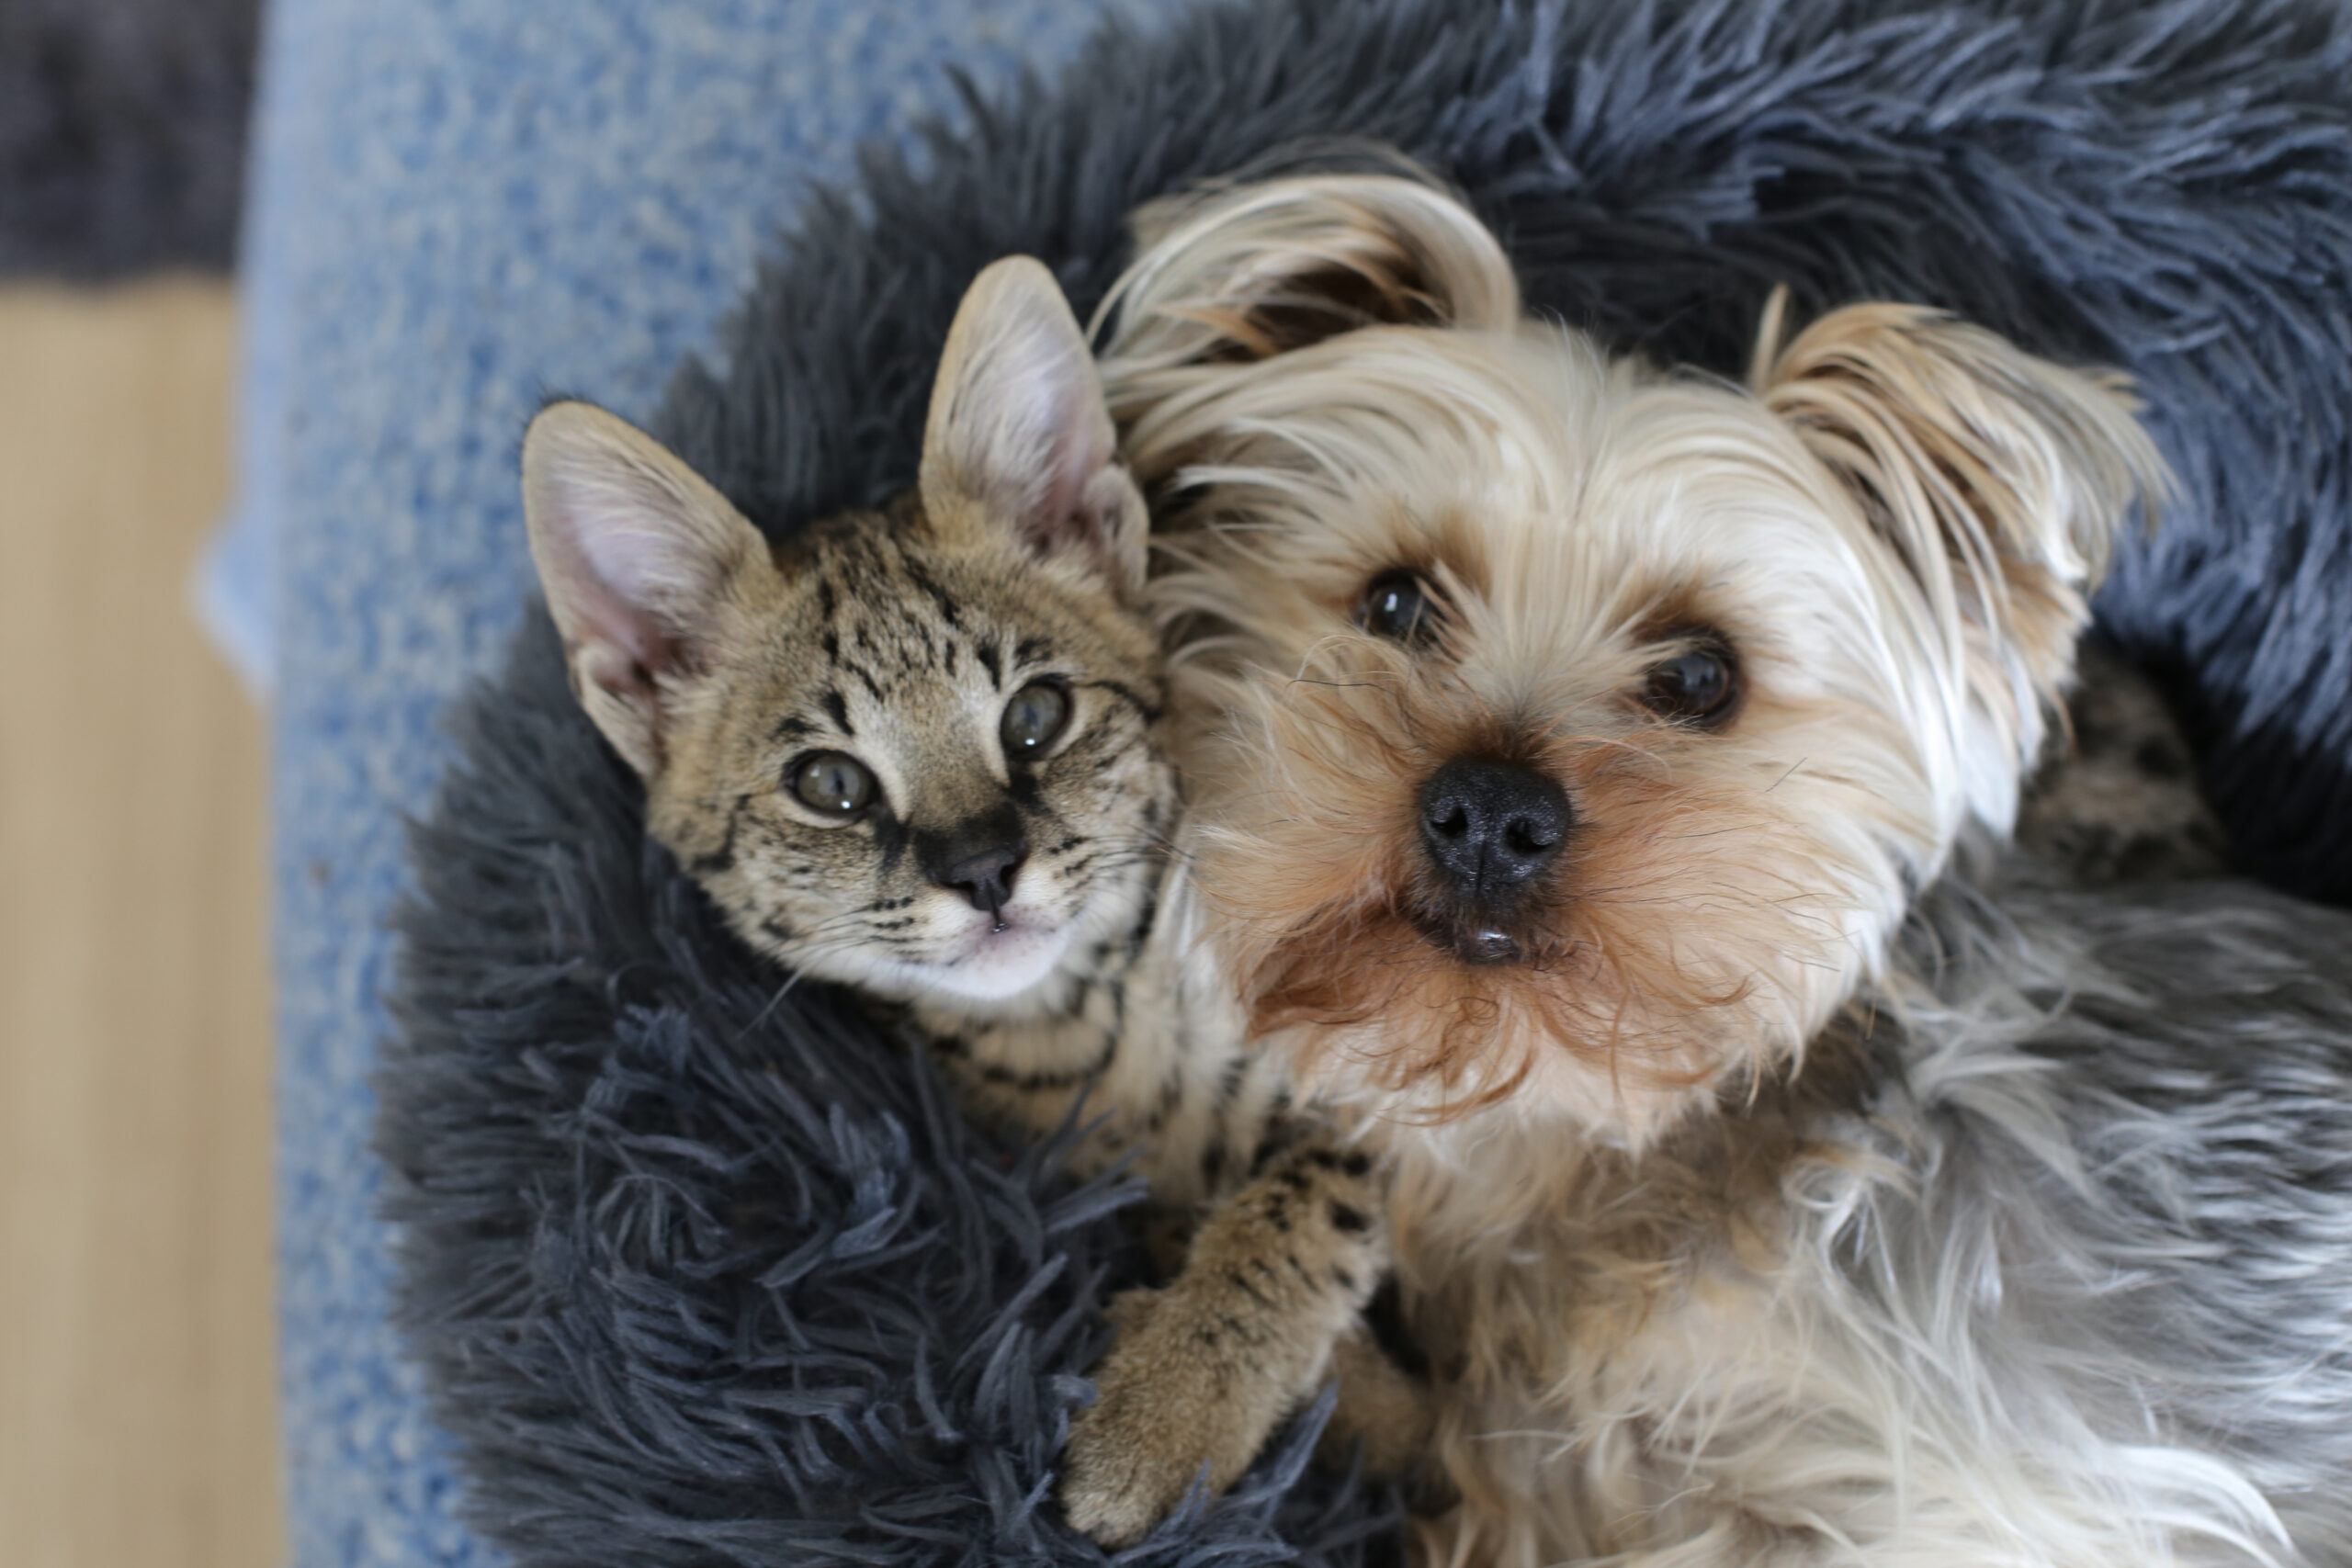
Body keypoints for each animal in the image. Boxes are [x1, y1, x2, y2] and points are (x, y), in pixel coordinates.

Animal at [517, 254, 1392, 1541]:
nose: (982, 872)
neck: (1090, 1021)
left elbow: (1311, 1200)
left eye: (1035, 717)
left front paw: (1163, 1419)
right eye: (830, 786)